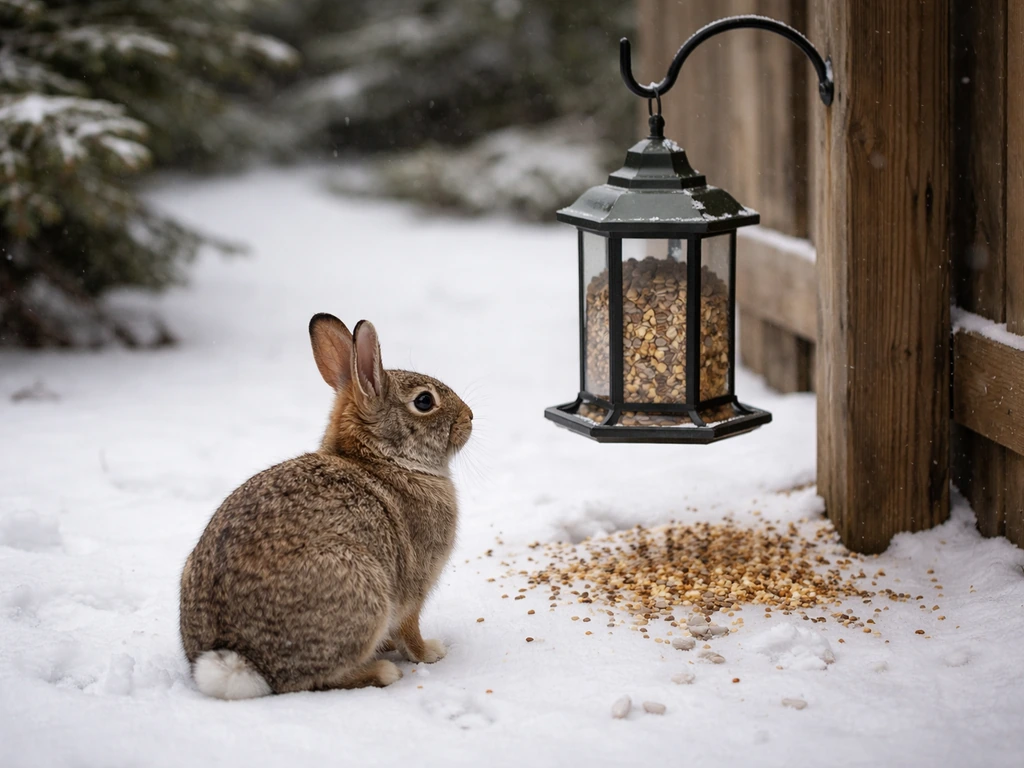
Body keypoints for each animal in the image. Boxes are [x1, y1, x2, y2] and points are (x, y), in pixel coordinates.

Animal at [179, 314, 473, 699]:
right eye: (424, 401)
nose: (470, 417)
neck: (384, 459)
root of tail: (245, 662)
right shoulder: (414, 587)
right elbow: (409, 629)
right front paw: (430, 653)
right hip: (363, 585)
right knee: (315, 680)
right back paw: (381, 671)